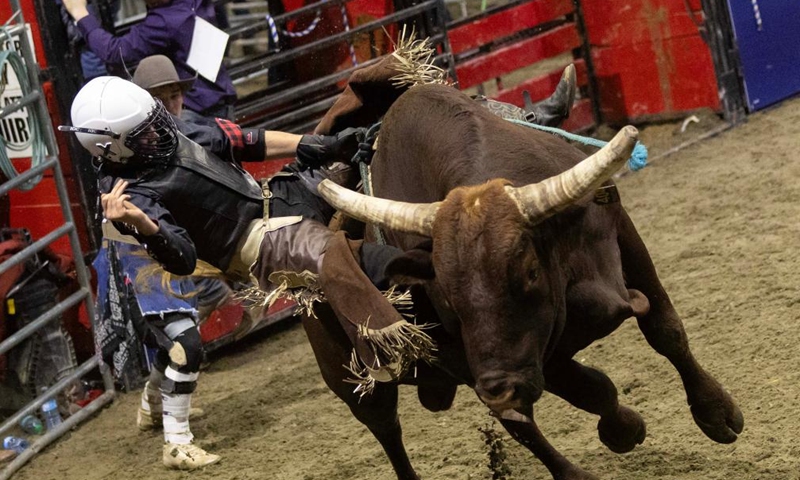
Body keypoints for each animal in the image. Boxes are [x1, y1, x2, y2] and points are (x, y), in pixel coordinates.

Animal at [300, 47, 744, 476]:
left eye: (529, 272)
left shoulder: (620, 229)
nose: (498, 388)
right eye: (447, 296)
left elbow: (664, 330)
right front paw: (623, 429)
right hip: (355, 384)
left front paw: (716, 412)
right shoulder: (474, 356)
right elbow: (587, 391)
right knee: (398, 430)